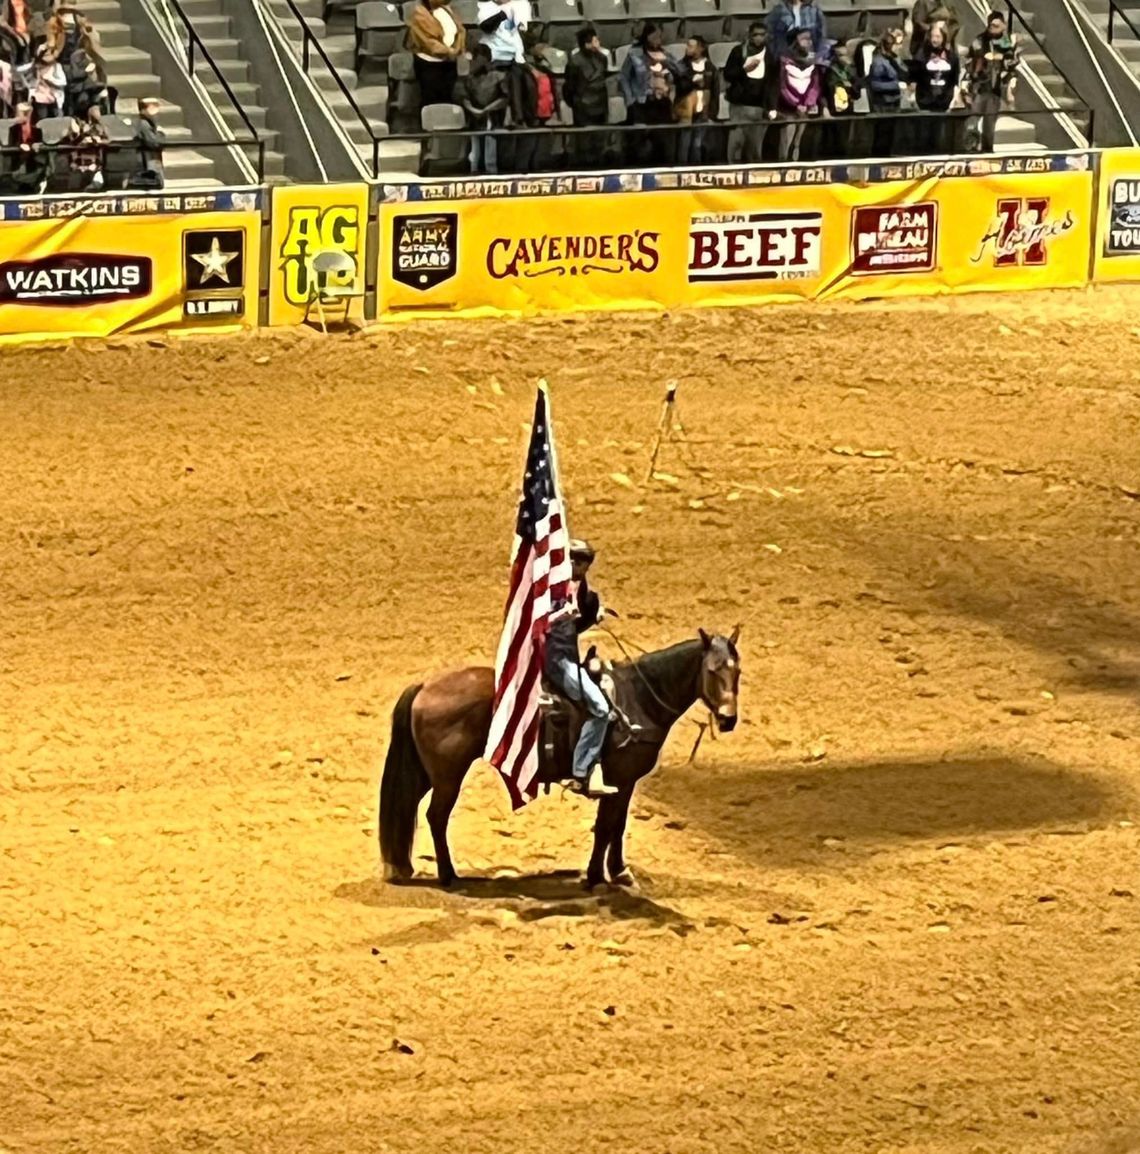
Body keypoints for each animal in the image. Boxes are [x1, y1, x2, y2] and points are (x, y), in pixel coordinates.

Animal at [378, 632, 743, 890]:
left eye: (737, 671)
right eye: (712, 671)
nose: (728, 720)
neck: (636, 699)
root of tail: (426, 685)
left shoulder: (625, 783)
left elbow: (618, 825)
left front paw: (618, 872)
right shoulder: (618, 779)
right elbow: (606, 826)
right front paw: (596, 877)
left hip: (427, 774)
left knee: (410, 807)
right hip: (448, 777)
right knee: (436, 817)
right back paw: (448, 875)